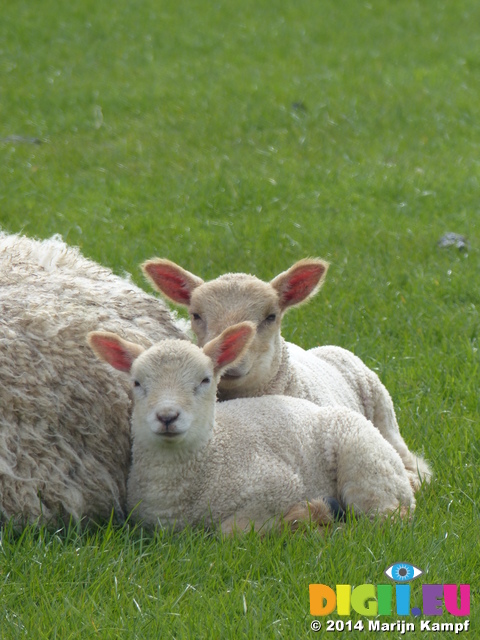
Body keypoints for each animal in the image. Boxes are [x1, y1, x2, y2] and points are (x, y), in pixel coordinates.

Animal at [87, 322, 416, 532]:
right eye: (136, 382)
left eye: (205, 380)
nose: (167, 416)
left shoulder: (278, 486)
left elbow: (230, 532)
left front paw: (303, 517)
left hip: (367, 466)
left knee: (388, 518)